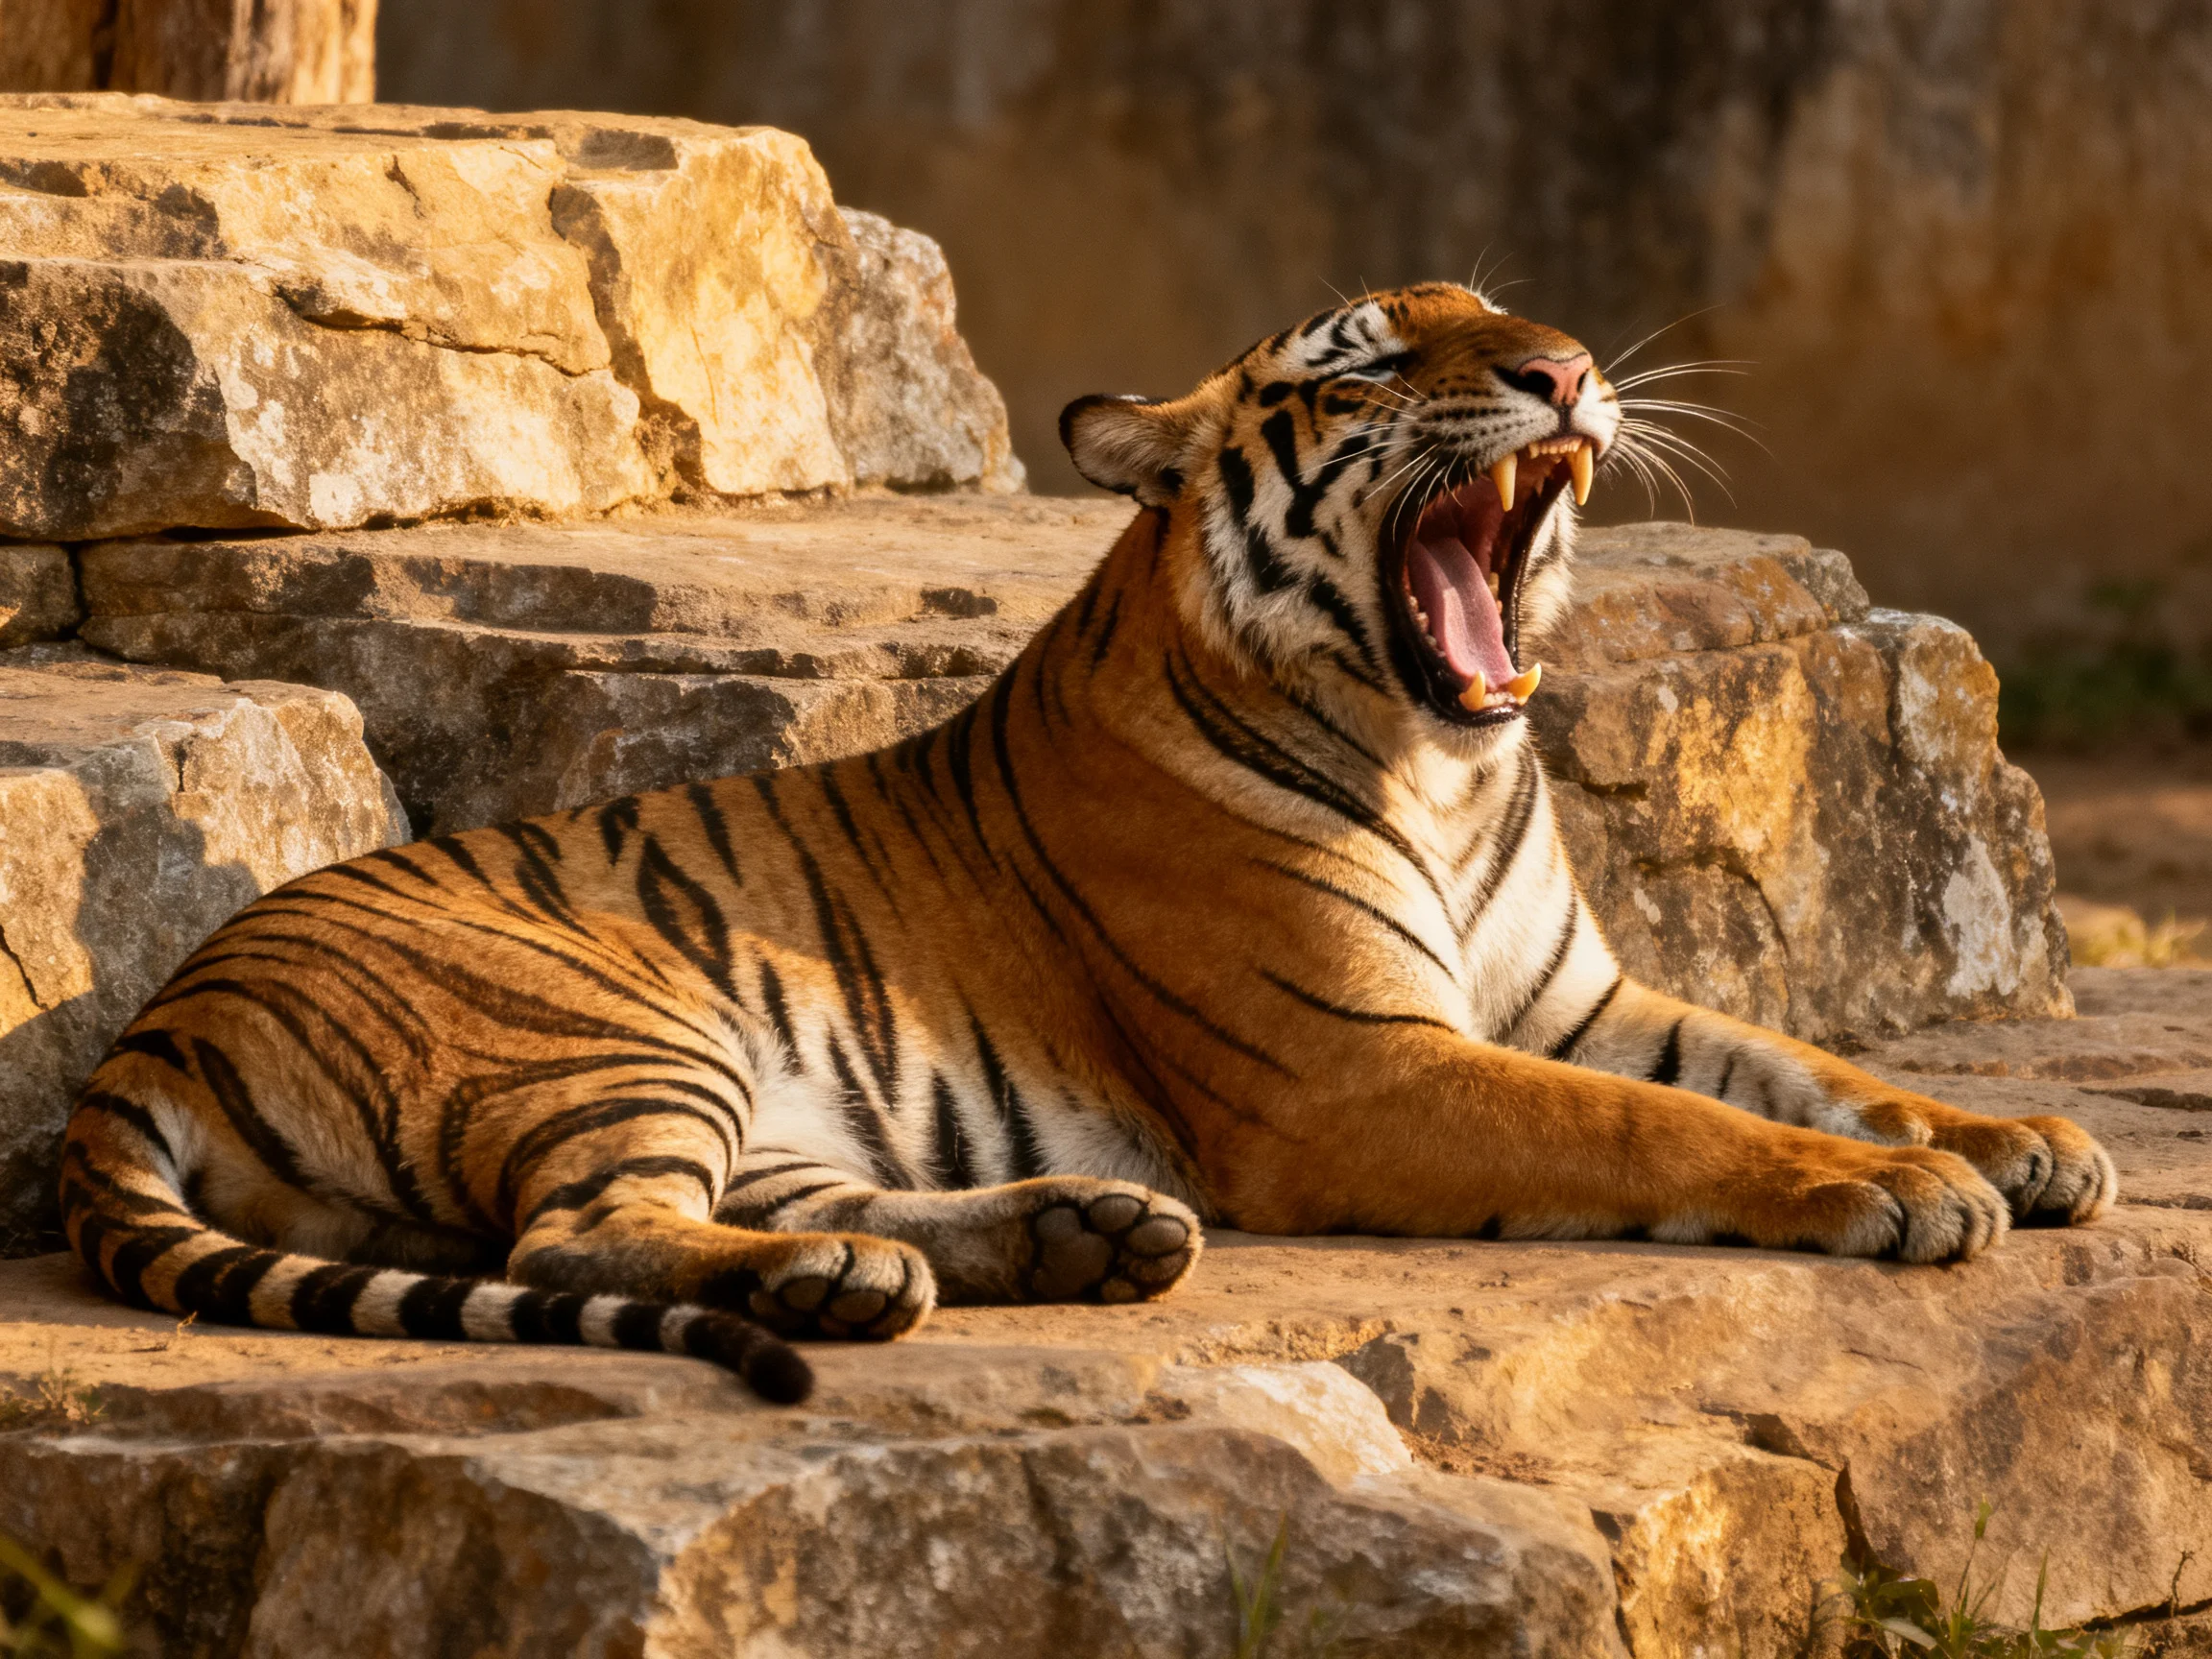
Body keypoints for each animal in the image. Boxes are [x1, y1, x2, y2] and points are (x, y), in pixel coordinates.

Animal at [60, 282, 2116, 1405]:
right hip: (609, 1026)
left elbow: (1799, 1062)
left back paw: (1027, 1241)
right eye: (1366, 364)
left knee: (749, 1212)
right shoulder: (1360, 1069)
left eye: (1505, 313)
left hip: (739, 1090)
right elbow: (1667, 1127)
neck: (1446, 765)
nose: (1563, 371)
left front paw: (2020, 1140)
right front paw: (1901, 1192)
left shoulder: (1571, 1000)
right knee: (586, 1230)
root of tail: (157, 1017)